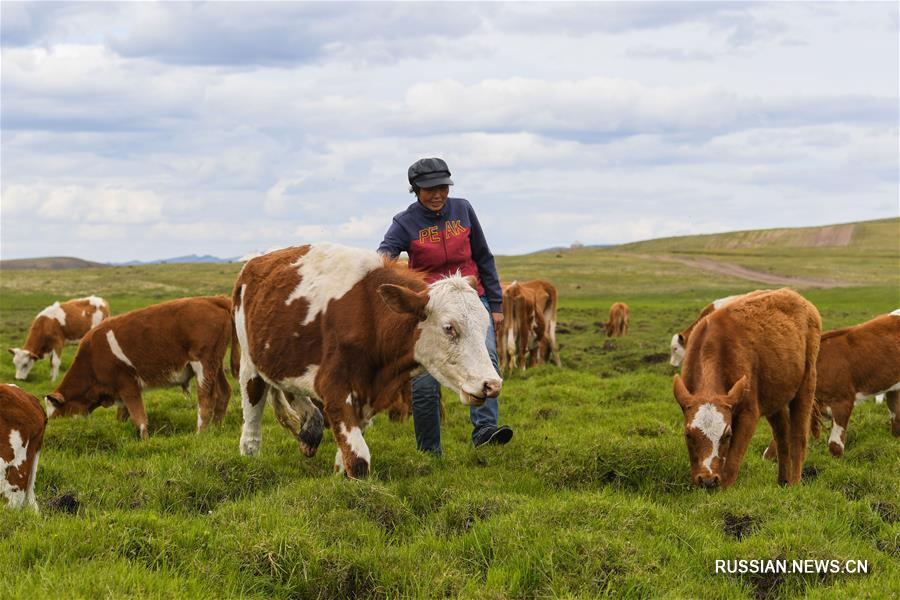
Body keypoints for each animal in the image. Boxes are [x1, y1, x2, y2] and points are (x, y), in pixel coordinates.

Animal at [44, 298, 237, 438]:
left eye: (55, 414)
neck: (92, 358)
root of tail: (212, 299)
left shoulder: (127, 385)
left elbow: (140, 418)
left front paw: (145, 440)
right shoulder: (119, 391)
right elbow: (122, 415)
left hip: (203, 365)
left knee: (206, 400)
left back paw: (200, 434)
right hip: (216, 365)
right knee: (223, 393)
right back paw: (217, 429)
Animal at [230, 244, 500, 478]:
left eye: (486, 325)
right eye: (449, 328)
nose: (492, 384)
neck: (370, 315)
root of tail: (254, 263)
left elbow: (346, 457)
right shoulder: (336, 391)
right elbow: (359, 460)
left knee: (290, 390)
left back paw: (310, 430)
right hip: (250, 365)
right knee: (252, 415)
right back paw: (252, 453)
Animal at [672, 288, 820, 490]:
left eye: (727, 435)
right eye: (688, 435)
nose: (708, 480)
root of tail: (793, 294)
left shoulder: (749, 413)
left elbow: (732, 462)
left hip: (806, 384)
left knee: (798, 438)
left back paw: (795, 484)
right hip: (775, 399)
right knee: (782, 437)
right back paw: (783, 481)